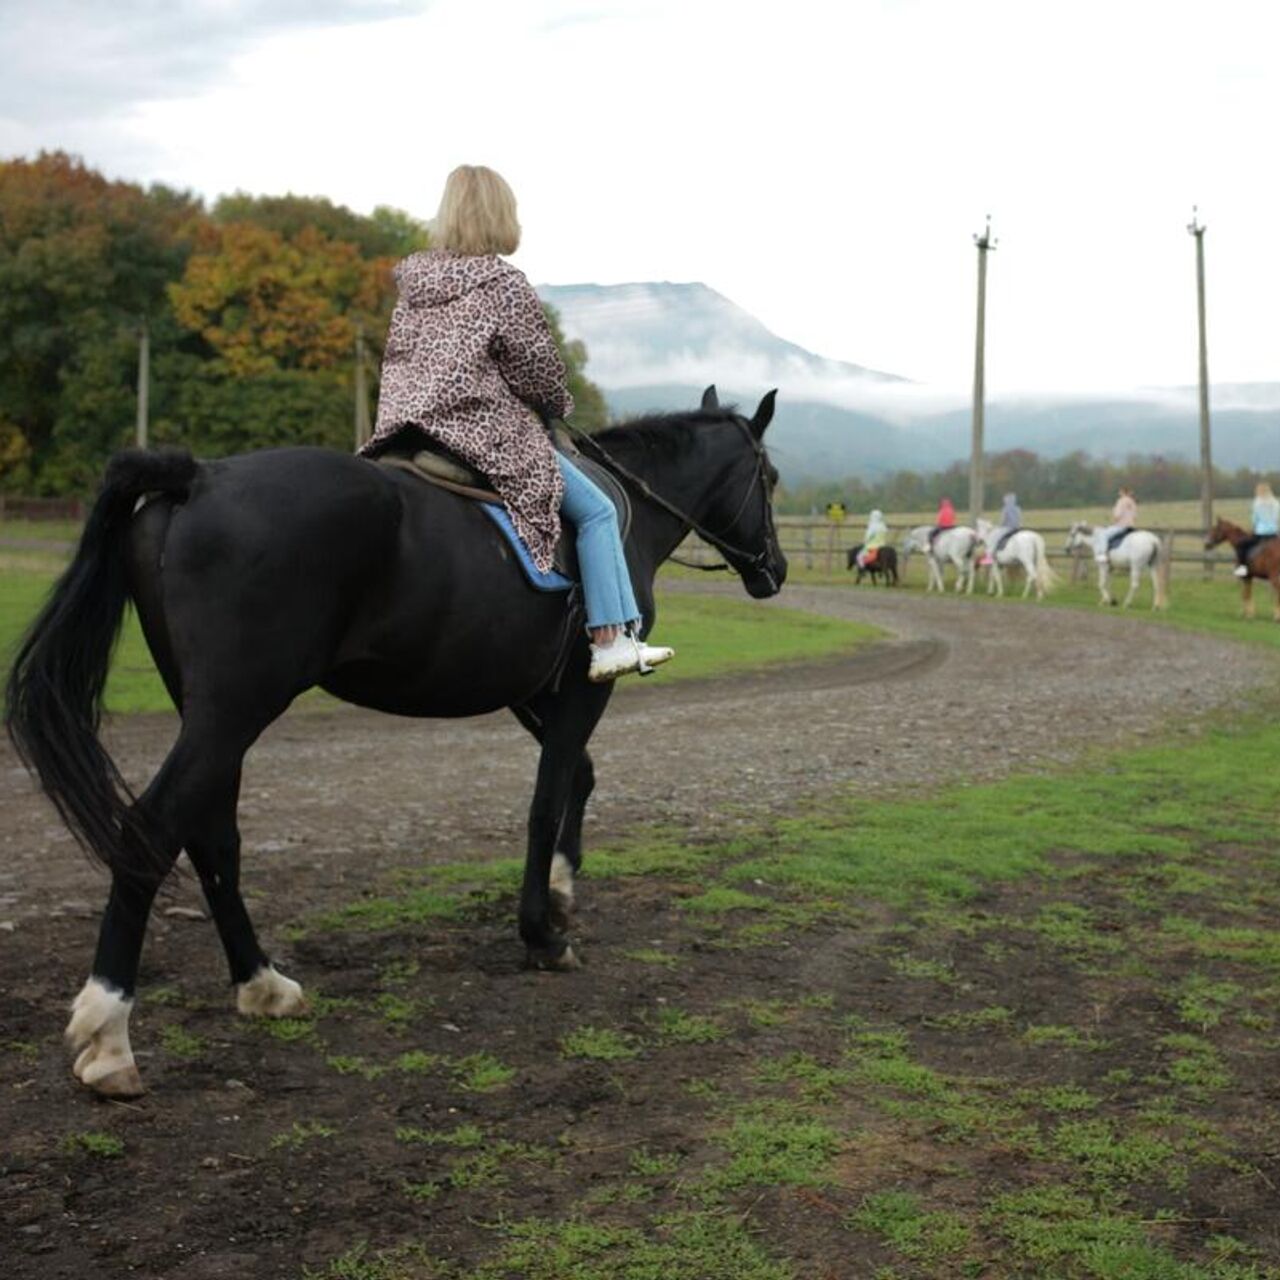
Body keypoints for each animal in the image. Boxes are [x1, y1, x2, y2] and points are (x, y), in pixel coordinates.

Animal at [5, 384, 783, 1095]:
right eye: (771, 478)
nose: (773, 571)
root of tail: (198, 477)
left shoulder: (532, 690)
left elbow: (577, 778)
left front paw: (563, 889)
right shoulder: (584, 686)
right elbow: (547, 798)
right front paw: (541, 932)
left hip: (211, 712)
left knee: (211, 835)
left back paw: (261, 983)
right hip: (234, 708)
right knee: (152, 830)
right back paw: (109, 1034)